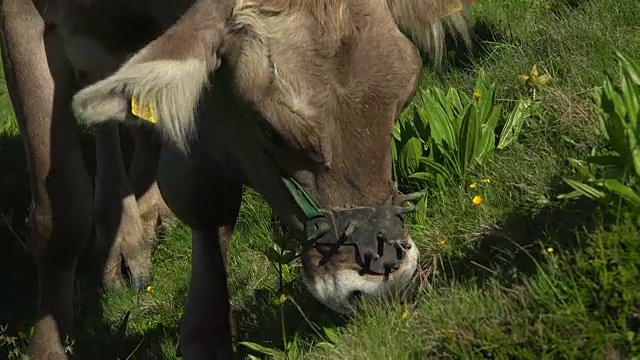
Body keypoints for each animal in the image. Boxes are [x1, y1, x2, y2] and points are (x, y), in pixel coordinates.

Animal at [1, 0, 470, 358]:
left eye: (405, 96)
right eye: (273, 131)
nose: (380, 282)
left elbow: (206, 198)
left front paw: (206, 336)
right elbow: (62, 215)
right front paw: (48, 348)